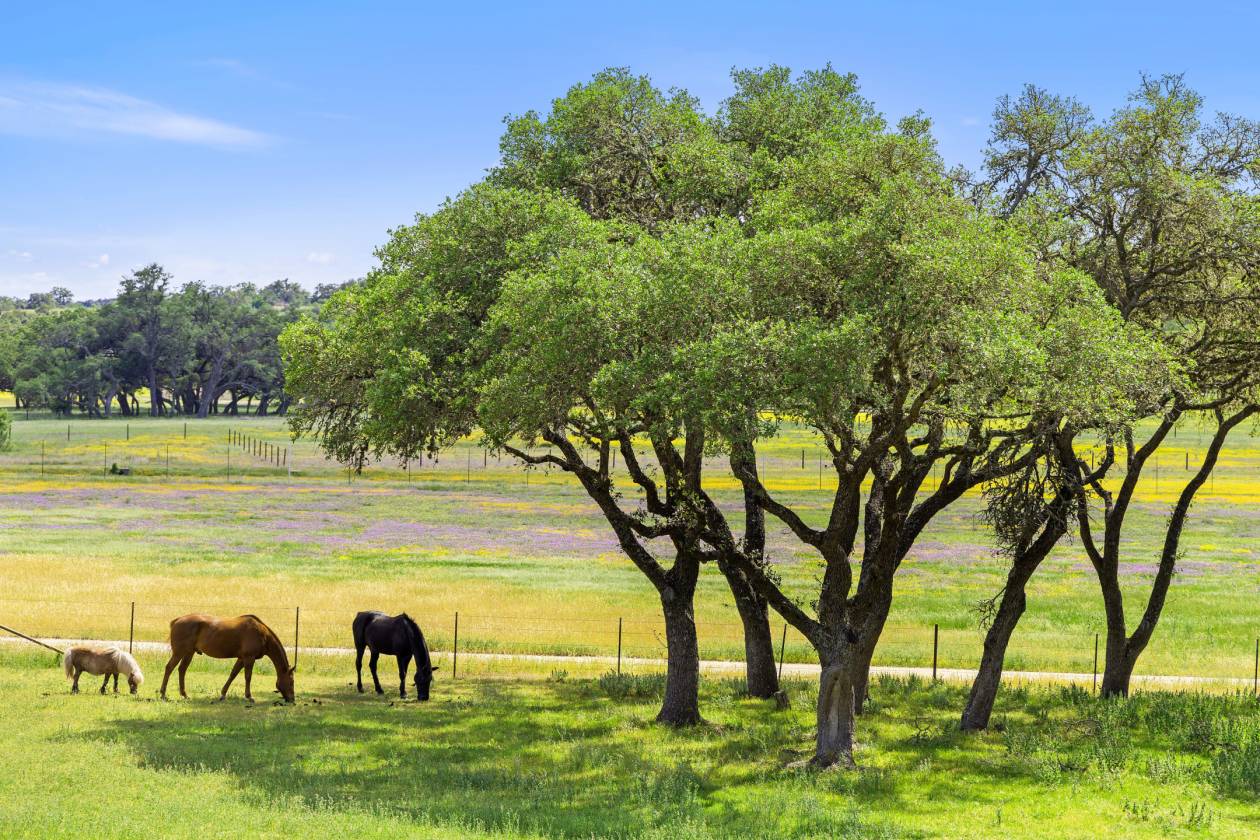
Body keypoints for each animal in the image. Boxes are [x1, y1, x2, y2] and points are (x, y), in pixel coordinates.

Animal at [156, 612, 292, 705]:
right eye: (291, 681)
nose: (292, 700)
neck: (262, 634)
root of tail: (177, 620)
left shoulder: (241, 658)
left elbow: (233, 674)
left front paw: (223, 694)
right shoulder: (249, 658)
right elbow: (248, 677)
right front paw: (249, 696)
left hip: (189, 653)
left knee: (182, 670)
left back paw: (184, 695)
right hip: (179, 652)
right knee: (169, 668)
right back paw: (163, 694)